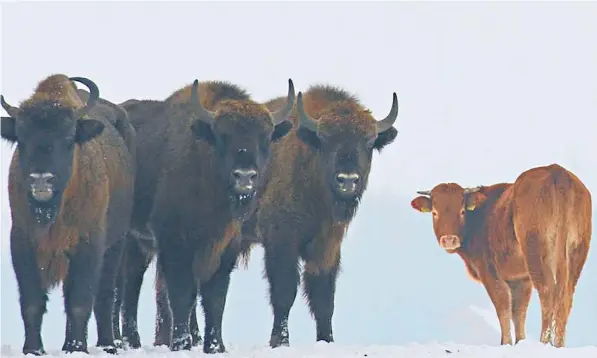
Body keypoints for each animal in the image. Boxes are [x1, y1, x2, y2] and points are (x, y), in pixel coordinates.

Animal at [0, 74, 135, 354]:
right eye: (21, 137)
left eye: (68, 136)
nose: (41, 179)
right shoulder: (22, 241)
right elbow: (32, 301)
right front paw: (33, 349)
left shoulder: (89, 244)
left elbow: (80, 302)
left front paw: (77, 348)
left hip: (116, 244)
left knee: (106, 296)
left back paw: (107, 344)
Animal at [117, 79, 296, 352]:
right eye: (223, 135)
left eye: (265, 137)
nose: (245, 176)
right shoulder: (174, 242)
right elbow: (182, 294)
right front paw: (181, 344)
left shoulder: (226, 247)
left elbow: (215, 298)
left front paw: (215, 346)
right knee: (125, 285)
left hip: (139, 244)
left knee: (131, 282)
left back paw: (133, 341)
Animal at [244, 84, 398, 346]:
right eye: (326, 140)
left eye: (369, 142)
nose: (348, 180)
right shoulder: (280, 240)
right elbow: (285, 291)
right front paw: (280, 342)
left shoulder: (328, 246)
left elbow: (324, 298)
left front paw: (327, 341)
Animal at [410, 164, 592, 346]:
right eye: (434, 212)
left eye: (462, 211)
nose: (449, 240)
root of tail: (556, 172)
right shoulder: (521, 278)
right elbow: (518, 311)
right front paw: (520, 341)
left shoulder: (490, 272)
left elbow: (503, 305)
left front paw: (506, 342)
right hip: (576, 253)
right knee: (566, 296)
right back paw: (559, 344)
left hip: (536, 253)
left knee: (547, 292)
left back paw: (544, 341)